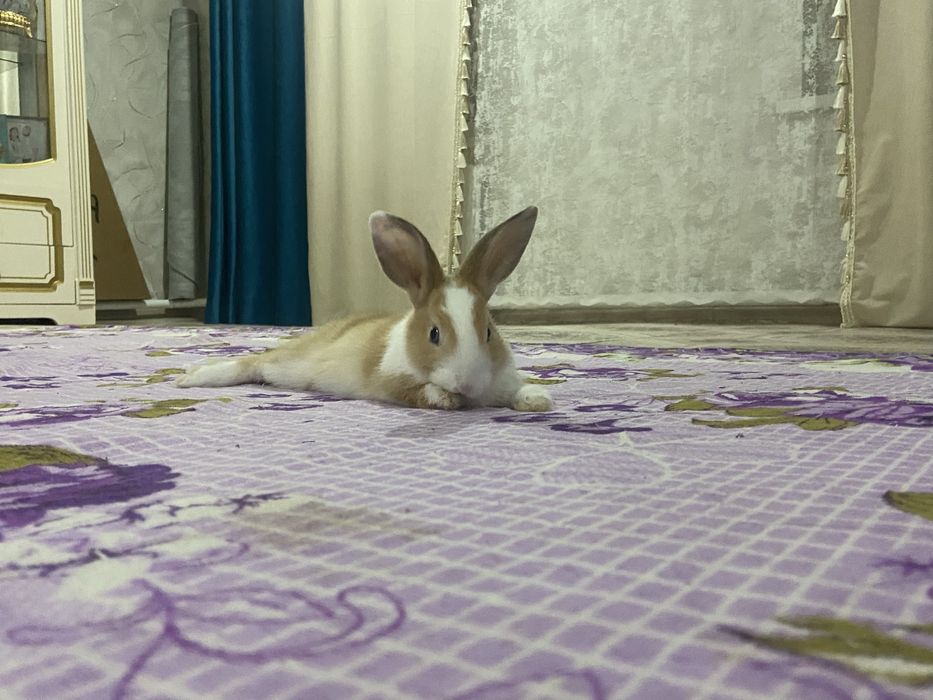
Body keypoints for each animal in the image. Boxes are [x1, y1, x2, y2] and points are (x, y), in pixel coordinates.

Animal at [177, 206, 552, 412]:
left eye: (489, 332)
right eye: (434, 334)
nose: (468, 383)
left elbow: (519, 389)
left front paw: (537, 400)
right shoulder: (390, 380)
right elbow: (421, 391)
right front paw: (447, 399)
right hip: (287, 364)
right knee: (251, 363)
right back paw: (192, 378)